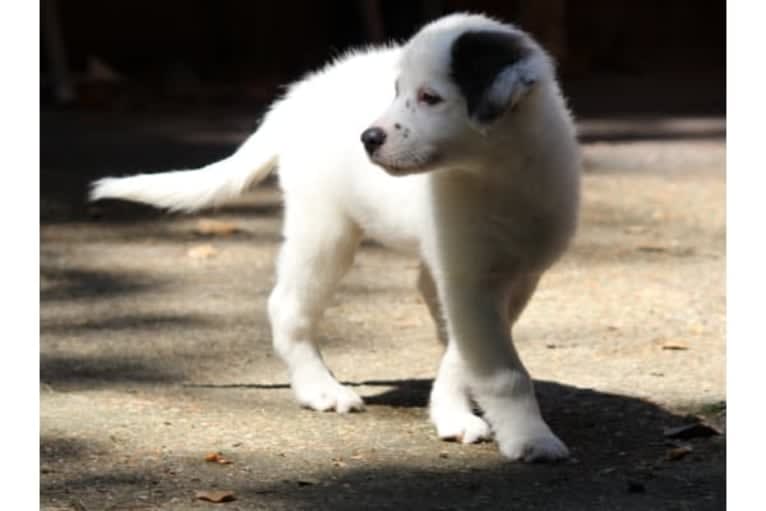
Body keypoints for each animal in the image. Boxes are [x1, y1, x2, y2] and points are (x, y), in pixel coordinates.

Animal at [90, 13, 584, 464]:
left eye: (430, 97)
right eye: (397, 91)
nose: (368, 138)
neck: (496, 173)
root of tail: (299, 96)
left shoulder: (514, 275)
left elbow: (467, 353)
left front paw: (452, 410)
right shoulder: (470, 277)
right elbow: (502, 371)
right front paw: (530, 439)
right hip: (323, 228)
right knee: (287, 307)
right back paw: (320, 389)